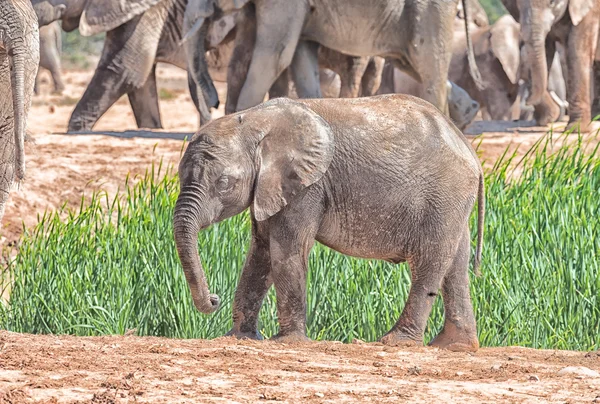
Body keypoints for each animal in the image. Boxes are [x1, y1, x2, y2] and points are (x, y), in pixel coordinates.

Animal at [176, 94, 486, 350]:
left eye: (224, 183)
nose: (214, 298)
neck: (253, 120)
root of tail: (469, 149)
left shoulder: (308, 185)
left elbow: (287, 250)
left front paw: (288, 342)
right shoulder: (270, 187)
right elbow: (260, 252)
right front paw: (240, 337)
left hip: (444, 196)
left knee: (429, 260)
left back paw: (395, 342)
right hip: (452, 203)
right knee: (456, 265)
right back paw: (454, 346)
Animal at [183, 0, 482, 117]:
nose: (214, 102)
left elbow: (276, 54)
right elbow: (301, 57)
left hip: (429, 12)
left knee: (428, 70)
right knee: (415, 66)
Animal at [502, 0, 600, 128]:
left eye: (552, 2)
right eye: (519, 3)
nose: (527, 100)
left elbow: (576, 52)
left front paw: (576, 128)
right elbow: (545, 50)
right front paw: (546, 119)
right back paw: (595, 117)